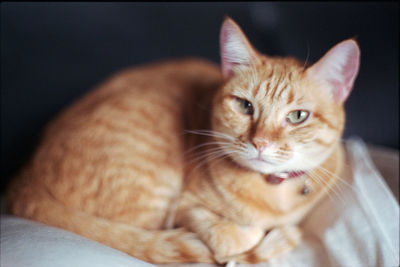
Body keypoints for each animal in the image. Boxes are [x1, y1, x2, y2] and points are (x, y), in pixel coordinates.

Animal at [3, 17, 360, 264]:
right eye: (245, 106)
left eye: (298, 116)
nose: (260, 143)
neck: (272, 193)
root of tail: (24, 178)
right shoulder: (184, 208)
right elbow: (234, 239)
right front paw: (252, 234)